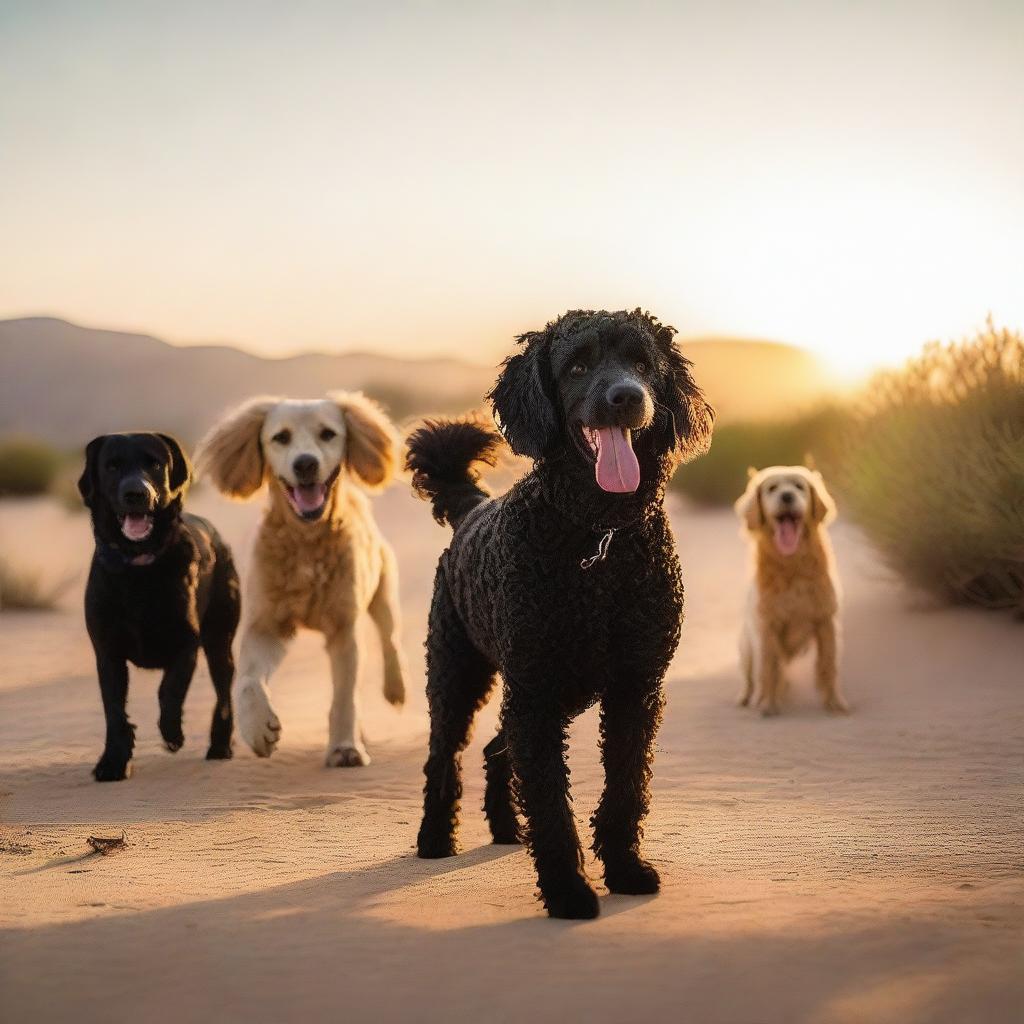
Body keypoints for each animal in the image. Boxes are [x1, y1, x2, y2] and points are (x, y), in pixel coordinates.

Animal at [78, 434, 241, 782]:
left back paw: (220, 746)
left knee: (224, 695)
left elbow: (170, 690)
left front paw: (172, 733)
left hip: (220, 642)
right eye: (112, 466)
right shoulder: (107, 652)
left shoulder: (187, 643)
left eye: (154, 463)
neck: (139, 568)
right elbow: (114, 709)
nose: (136, 493)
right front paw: (113, 762)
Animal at [197, 395, 405, 765]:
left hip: (382, 587)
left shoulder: (345, 628)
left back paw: (395, 688)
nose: (305, 464)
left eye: (328, 434)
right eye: (280, 437)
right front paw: (259, 730)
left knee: (390, 636)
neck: (306, 541)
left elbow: (345, 697)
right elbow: (246, 681)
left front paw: (345, 747)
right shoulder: (265, 625)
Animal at [405, 305, 712, 921]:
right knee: (444, 756)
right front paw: (569, 891)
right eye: (577, 366)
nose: (626, 397)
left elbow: (625, 788)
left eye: (643, 363)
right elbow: (550, 800)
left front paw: (624, 869)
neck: (597, 539)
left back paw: (505, 828)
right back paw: (434, 840)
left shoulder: (634, 688)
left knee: (497, 748)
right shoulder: (537, 693)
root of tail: (471, 508)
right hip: (456, 675)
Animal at [737, 468, 847, 716]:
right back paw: (748, 697)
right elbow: (767, 668)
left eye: (799, 486)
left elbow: (828, 666)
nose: (787, 496)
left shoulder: (826, 621)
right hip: (746, 647)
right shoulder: (766, 626)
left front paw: (834, 703)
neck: (792, 568)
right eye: (771, 488)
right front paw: (767, 704)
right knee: (751, 678)